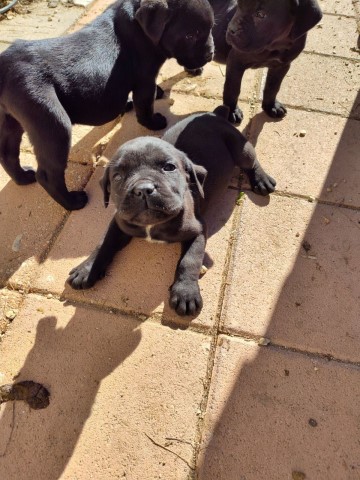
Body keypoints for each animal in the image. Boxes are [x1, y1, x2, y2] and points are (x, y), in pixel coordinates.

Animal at [0, 0, 214, 210]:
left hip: (10, 121)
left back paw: (23, 177)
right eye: (190, 35)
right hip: (53, 123)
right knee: (47, 175)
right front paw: (153, 122)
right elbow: (145, 103)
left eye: (211, 28)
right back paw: (72, 202)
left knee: (8, 154)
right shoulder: (144, 78)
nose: (211, 53)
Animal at [67, 109, 276, 318]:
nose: (143, 189)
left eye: (169, 167)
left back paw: (261, 179)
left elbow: (189, 260)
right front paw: (86, 269)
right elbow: (103, 243)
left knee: (251, 161)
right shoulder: (119, 223)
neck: (152, 225)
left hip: (241, 149)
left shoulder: (198, 230)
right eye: (118, 176)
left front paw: (185, 294)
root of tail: (213, 114)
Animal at [190, 0, 322, 124]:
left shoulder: (282, 65)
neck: (275, 46)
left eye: (261, 14)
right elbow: (232, 89)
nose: (231, 29)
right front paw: (231, 111)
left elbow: (273, 87)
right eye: (238, 5)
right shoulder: (235, 61)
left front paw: (271, 106)